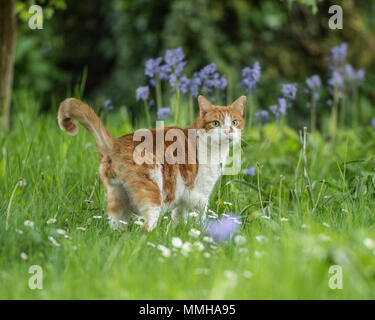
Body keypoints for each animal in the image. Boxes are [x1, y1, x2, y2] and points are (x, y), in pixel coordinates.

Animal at [58, 95, 247, 230]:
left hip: (117, 199)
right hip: (152, 195)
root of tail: (116, 143)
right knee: (144, 229)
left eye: (234, 122)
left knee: (116, 228)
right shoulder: (199, 195)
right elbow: (199, 219)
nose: (229, 131)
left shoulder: (183, 200)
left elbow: (179, 218)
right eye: (216, 123)